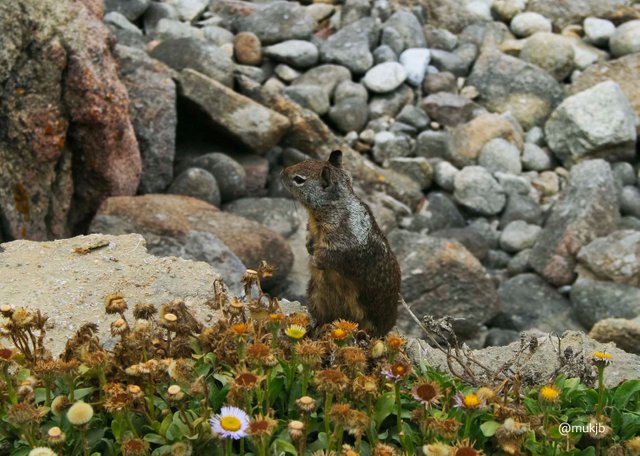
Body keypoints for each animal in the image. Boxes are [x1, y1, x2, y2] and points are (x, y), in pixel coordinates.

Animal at [282, 150, 400, 334]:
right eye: (305, 161)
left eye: (299, 179)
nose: (281, 173)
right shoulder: (312, 229)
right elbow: (309, 236)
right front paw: (309, 246)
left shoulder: (343, 241)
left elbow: (330, 255)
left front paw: (315, 259)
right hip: (315, 296)